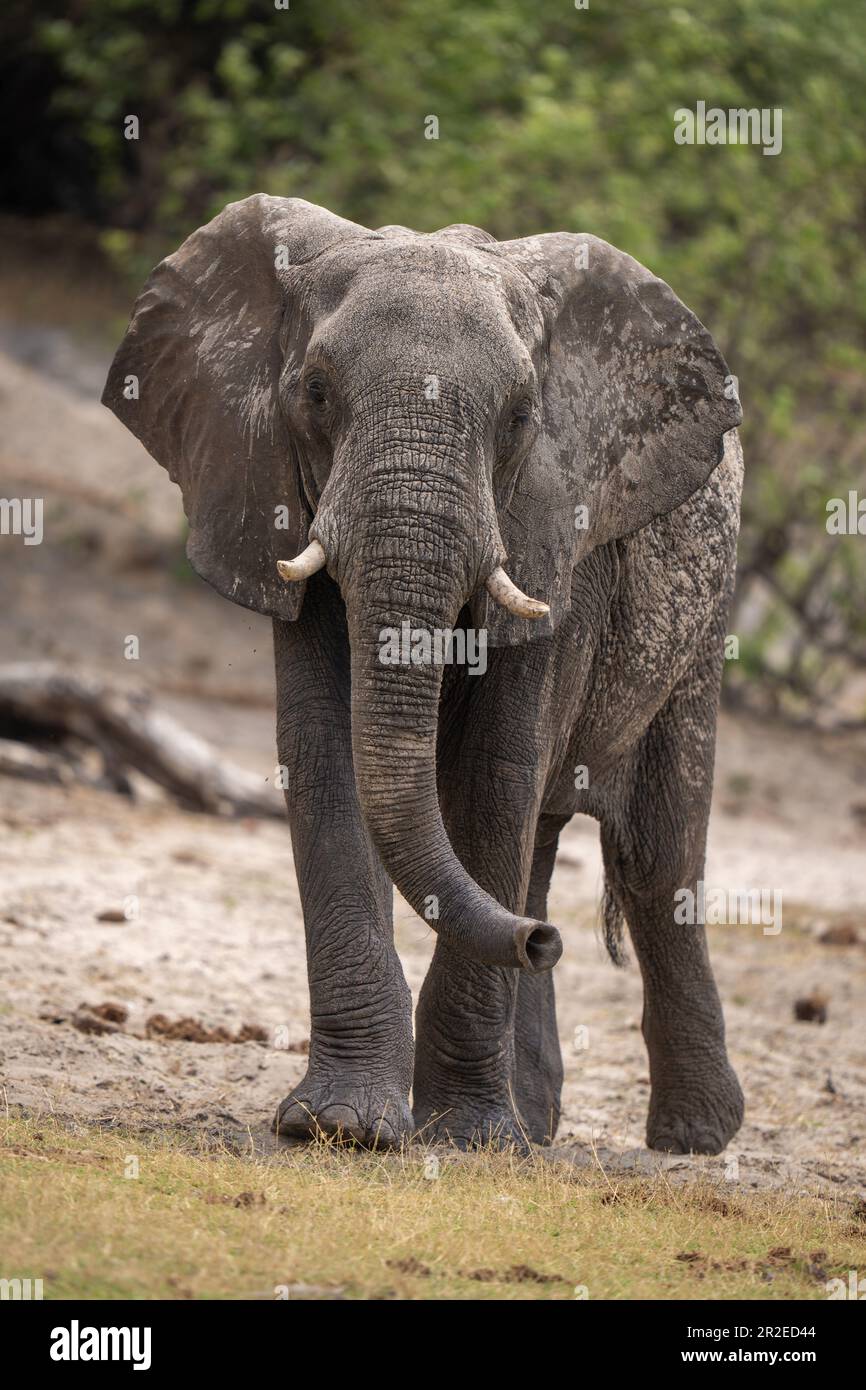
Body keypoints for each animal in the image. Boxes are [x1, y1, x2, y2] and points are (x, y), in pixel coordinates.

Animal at [103, 194, 745, 1155]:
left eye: (521, 417)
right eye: (315, 392)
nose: (541, 942)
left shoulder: (558, 524)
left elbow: (494, 773)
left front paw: (469, 1139)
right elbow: (328, 755)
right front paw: (343, 1126)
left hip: (702, 631)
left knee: (655, 854)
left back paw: (692, 1137)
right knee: (542, 850)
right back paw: (539, 1114)